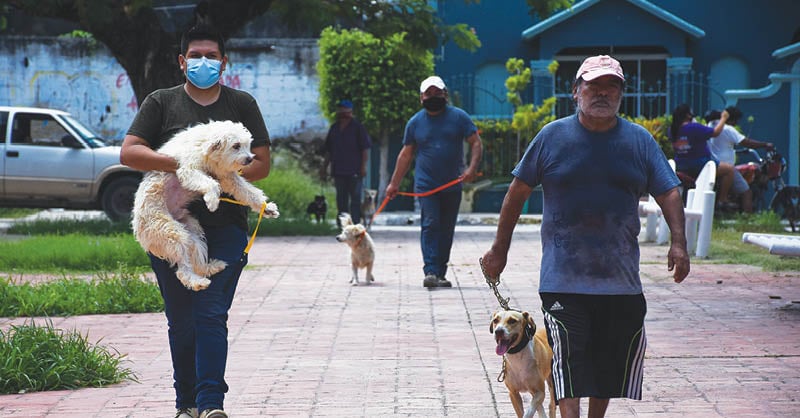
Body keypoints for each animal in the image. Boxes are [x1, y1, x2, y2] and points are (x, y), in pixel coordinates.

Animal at [133, 120, 280, 290]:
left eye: (247, 145)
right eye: (236, 145)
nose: (250, 159)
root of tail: (138, 231)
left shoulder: (227, 177)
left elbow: (248, 192)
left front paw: (266, 208)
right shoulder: (188, 169)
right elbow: (211, 184)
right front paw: (212, 200)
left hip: (192, 234)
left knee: (197, 263)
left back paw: (212, 267)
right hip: (171, 232)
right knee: (183, 270)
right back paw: (198, 282)